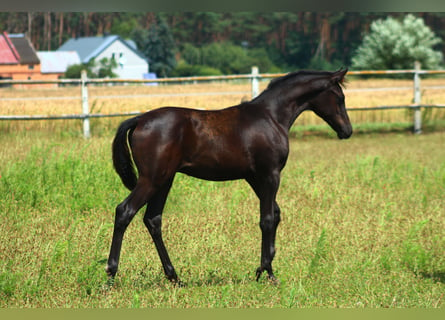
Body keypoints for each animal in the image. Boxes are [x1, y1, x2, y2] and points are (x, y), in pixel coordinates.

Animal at [106, 69, 352, 284]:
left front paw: (262, 268)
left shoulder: (254, 177)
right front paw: (268, 273)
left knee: (153, 219)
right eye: (340, 97)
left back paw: (174, 277)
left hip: (165, 180)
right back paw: (111, 274)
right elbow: (267, 219)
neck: (271, 117)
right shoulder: (270, 174)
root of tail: (139, 120)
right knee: (125, 211)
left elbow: (275, 214)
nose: (347, 131)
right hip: (152, 179)